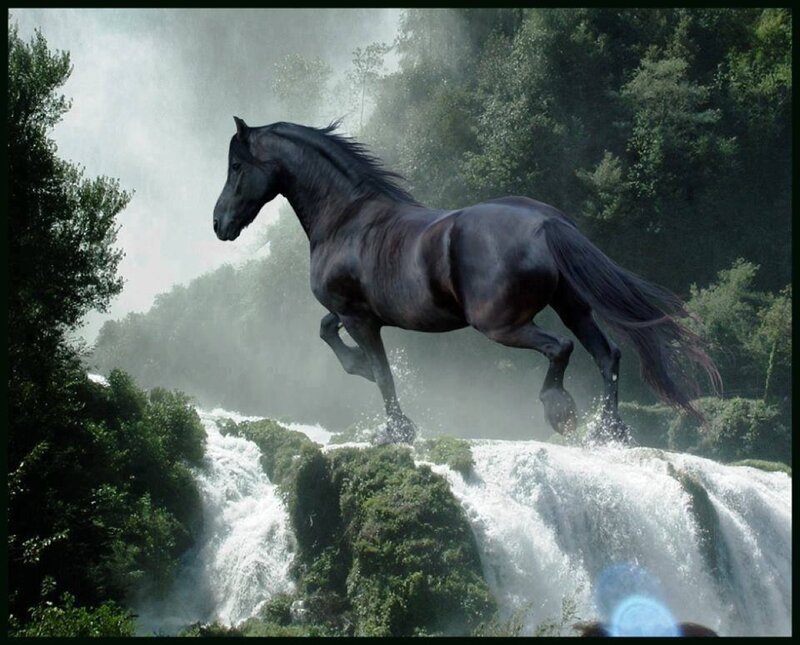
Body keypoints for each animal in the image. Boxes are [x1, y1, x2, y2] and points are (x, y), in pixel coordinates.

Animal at [213, 117, 720, 444]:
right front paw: (361, 373)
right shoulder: (350, 313)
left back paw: (561, 412)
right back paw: (608, 432)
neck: (347, 219)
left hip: (500, 324)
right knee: (607, 354)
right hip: (573, 306)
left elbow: (381, 373)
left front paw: (396, 431)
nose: (219, 224)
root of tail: (546, 223)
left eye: (237, 167)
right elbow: (329, 333)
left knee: (561, 349)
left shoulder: (360, 318)